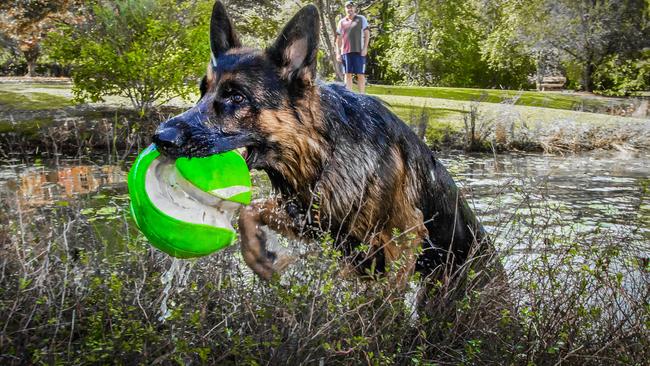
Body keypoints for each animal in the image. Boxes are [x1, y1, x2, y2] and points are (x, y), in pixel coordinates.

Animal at [152, 2, 486, 288]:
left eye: (237, 97)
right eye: (202, 91)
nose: (160, 137)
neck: (324, 151)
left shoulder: (404, 237)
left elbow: (385, 301)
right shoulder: (310, 219)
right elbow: (251, 211)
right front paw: (260, 256)